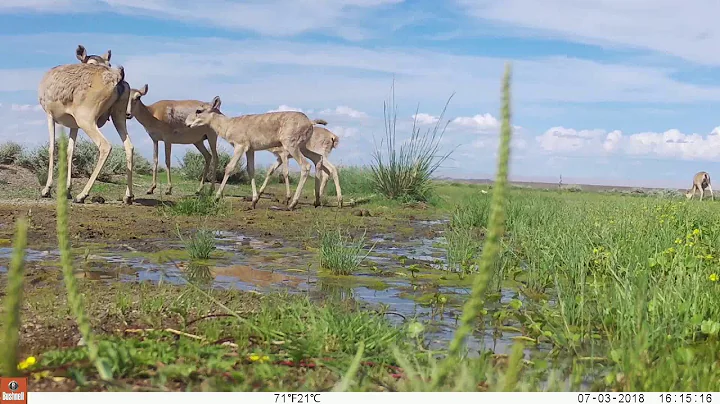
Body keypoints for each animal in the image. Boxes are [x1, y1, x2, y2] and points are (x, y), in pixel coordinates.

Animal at [38, 47, 134, 204]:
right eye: (92, 62)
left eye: (108, 63)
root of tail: (118, 77)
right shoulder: (74, 125)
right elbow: (70, 151)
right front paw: (67, 190)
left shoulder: (49, 115)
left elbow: (52, 148)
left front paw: (46, 190)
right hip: (118, 117)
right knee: (129, 146)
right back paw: (128, 196)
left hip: (87, 120)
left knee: (105, 146)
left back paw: (82, 195)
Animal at [183, 96, 324, 210]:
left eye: (198, 111)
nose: (186, 123)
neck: (228, 124)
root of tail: (310, 122)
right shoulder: (250, 150)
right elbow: (251, 170)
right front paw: (253, 202)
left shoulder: (239, 146)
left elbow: (229, 167)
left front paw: (216, 198)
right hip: (302, 147)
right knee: (318, 158)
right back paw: (317, 201)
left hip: (292, 146)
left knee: (306, 166)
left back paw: (292, 204)